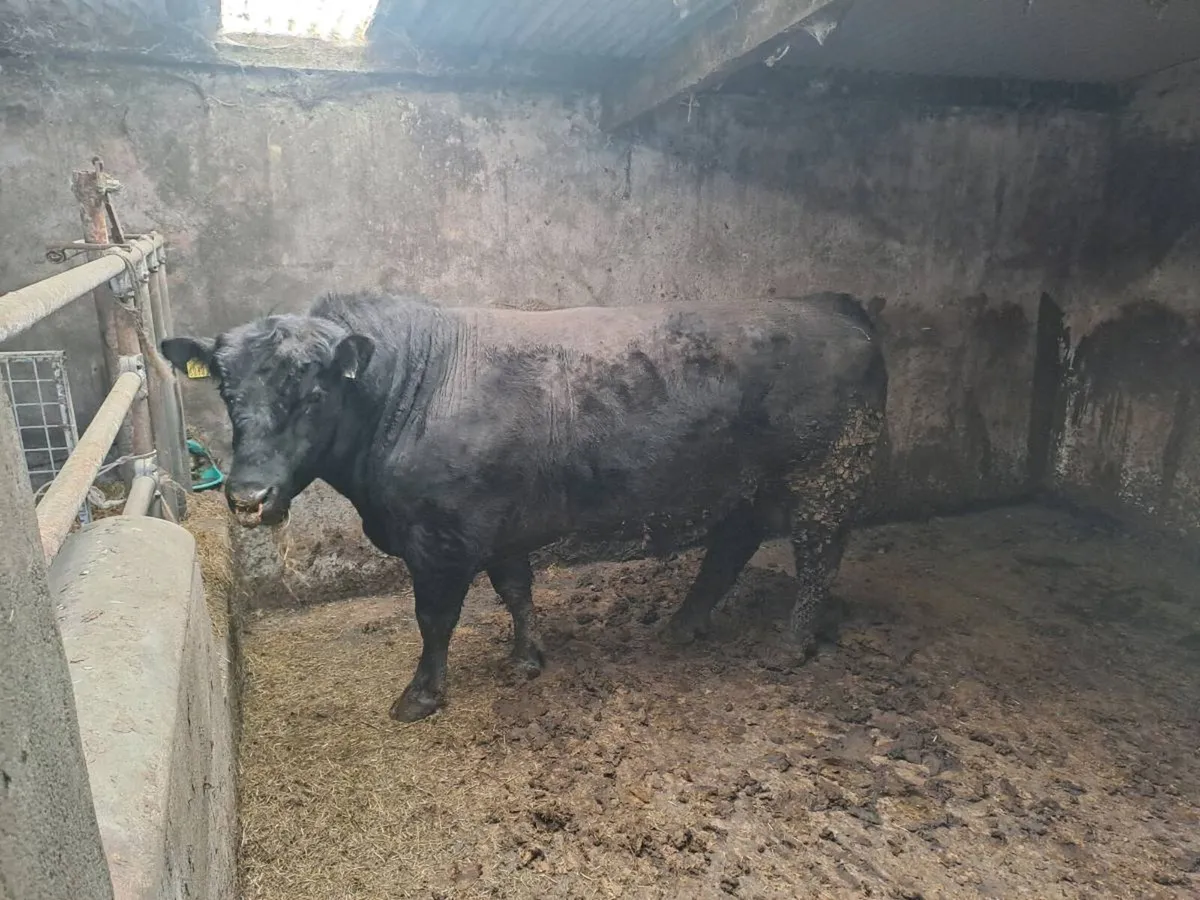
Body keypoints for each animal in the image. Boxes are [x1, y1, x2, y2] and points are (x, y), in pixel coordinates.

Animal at [162, 291, 887, 722]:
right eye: (225, 390)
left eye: (312, 394)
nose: (248, 497)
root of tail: (832, 306)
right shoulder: (498, 527)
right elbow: (516, 590)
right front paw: (527, 659)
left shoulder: (440, 540)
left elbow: (435, 620)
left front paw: (422, 695)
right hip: (743, 483)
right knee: (731, 548)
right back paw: (683, 625)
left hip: (826, 477)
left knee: (817, 557)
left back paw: (789, 646)